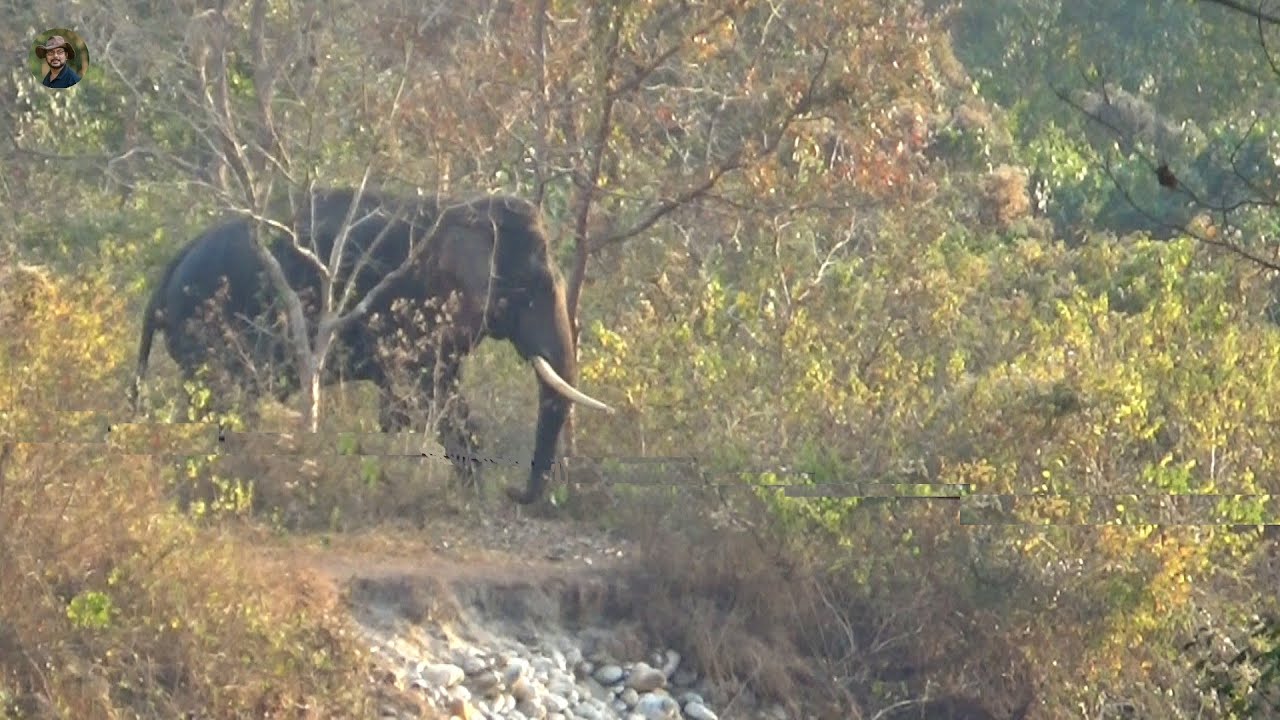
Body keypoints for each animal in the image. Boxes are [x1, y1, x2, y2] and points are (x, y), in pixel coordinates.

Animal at [131, 186, 615, 504]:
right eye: (530, 288)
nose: (516, 491)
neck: (466, 208)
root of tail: (171, 268)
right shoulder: (412, 304)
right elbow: (433, 396)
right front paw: (472, 494)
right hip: (207, 331)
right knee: (226, 399)